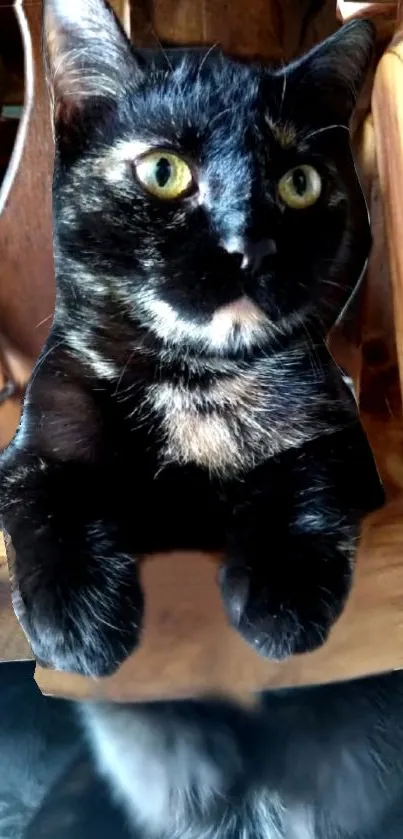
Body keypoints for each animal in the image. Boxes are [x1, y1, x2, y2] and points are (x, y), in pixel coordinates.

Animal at [0, 0, 384, 676]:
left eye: (300, 182)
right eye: (164, 171)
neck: (195, 379)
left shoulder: (341, 435)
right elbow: (44, 495)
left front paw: (282, 594)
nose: (250, 246)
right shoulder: (37, 435)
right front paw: (76, 620)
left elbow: (313, 473)